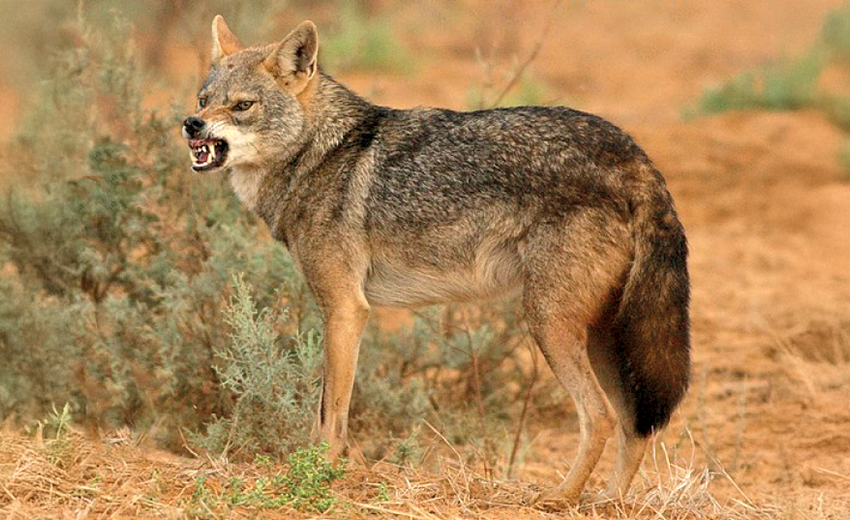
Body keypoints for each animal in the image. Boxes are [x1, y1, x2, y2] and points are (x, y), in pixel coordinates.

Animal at [182, 16, 690, 503]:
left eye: (242, 106)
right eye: (204, 100)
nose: (191, 124)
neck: (320, 154)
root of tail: (635, 157)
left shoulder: (347, 309)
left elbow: (332, 414)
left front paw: (318, 474)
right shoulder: (339, 311)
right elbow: (321, 410)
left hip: (548, 322)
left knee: (601, 417)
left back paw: (560, 497)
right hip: (601, 334)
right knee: (635, 425)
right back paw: (607, 501)